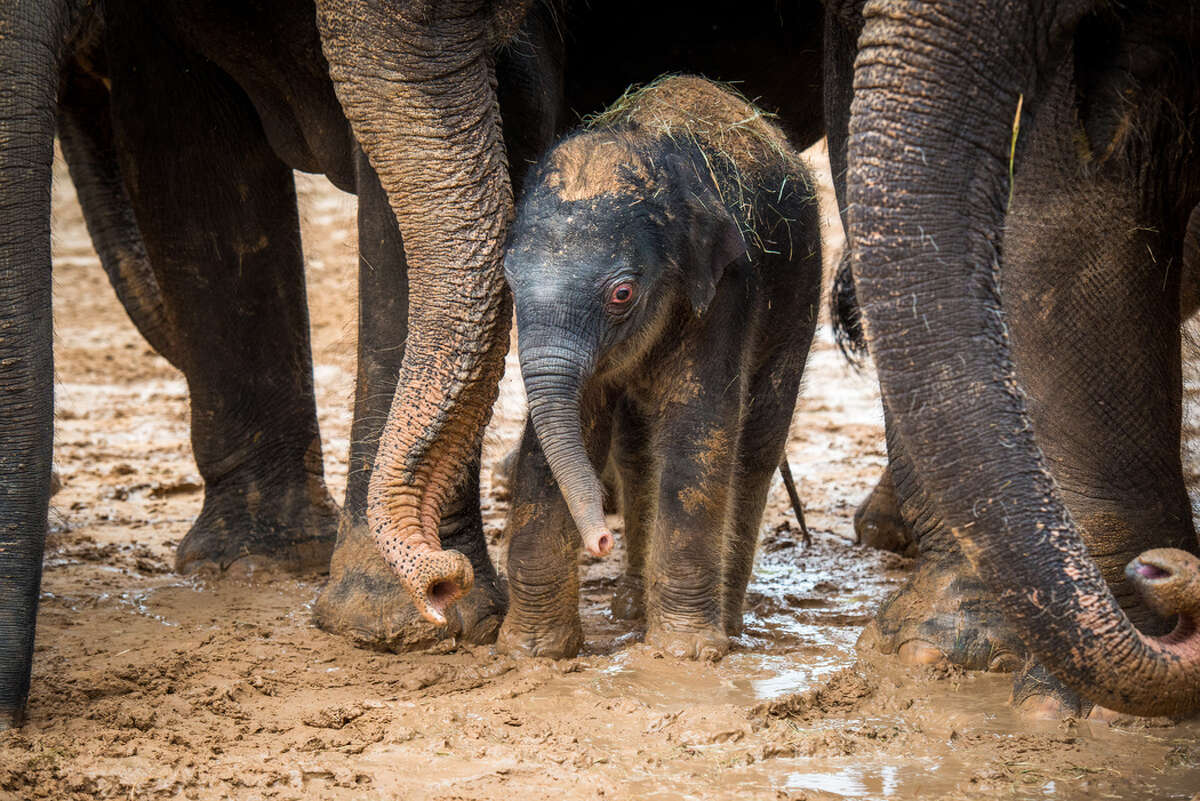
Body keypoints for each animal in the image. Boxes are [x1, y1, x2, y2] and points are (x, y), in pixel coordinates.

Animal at [496, 74, 825, 661]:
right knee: (635, 453)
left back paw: (729, 623)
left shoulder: (728, 292)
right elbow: (562, 434)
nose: (600, 540)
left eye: (622, 293)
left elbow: (699, 428)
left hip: (800, 303)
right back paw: (631, 606)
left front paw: (687, 654)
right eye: (508, 281)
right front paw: (531, 651)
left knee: (756, 449)